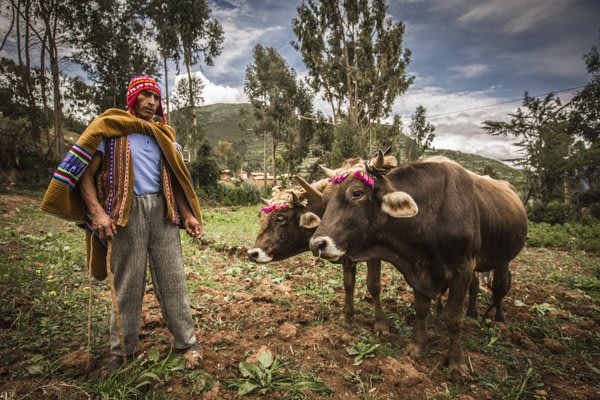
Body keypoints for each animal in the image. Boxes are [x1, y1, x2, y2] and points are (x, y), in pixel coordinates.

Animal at [308, 154, 528, 376]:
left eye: (357, 193)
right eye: (325, 199)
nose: (316, 244)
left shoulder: (463, 267)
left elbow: (453, 317)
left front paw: (456, 362)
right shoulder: (418, 270)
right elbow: (421, 309)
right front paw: (417, 347)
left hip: (504, 258)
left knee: (500, 287)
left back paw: (500, 321)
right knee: (475, 287)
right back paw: (472, 315)